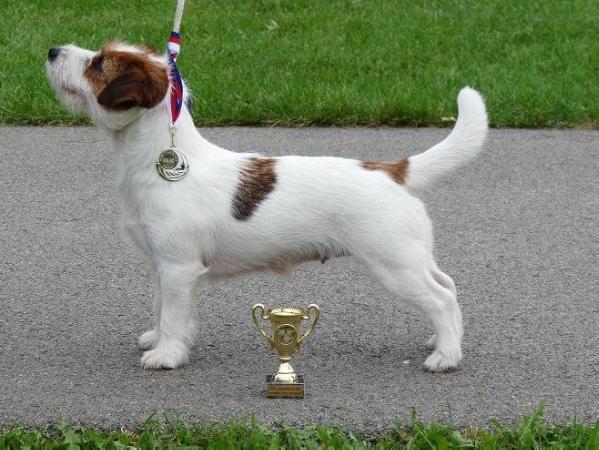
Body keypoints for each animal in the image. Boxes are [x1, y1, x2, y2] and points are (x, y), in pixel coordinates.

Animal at [45, 40, 488, 370]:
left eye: (98, 63)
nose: (52, 50)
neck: (157, 155)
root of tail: (392, 170)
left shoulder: (177, 267)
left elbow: (171, 314)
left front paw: (166, 355)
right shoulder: (164, 267)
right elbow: (162, 309)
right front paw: (158, 339)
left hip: (395, 265)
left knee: (441, 298)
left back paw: (446, 357)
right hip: (413, 258)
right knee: (448, 286)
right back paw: (441, 340)